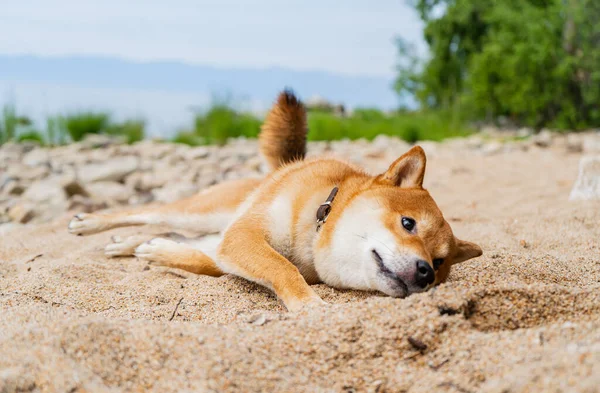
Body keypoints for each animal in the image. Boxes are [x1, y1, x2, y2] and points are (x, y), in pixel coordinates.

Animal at [70, 89, 482, 310]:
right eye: (408, 223)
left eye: (440, 262)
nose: (426, 272)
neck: (318, 221)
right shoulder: (246, 236)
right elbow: (284, 268)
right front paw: (309, 305)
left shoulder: (230, 246)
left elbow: (222, 262)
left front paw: (155, 252)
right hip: (203, 212)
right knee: (148, 212)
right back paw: (92, 223)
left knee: (172, 238)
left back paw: (136, 246)